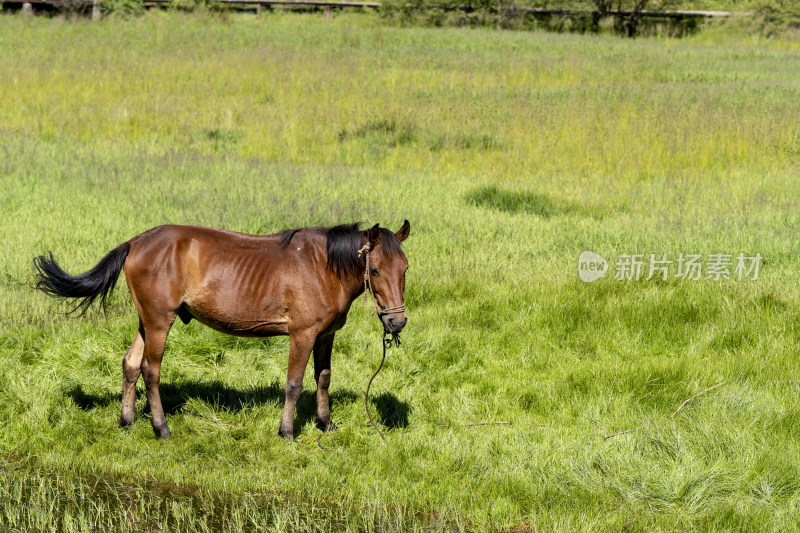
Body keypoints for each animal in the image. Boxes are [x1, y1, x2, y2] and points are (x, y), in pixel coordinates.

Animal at [33, 220, 410, 436]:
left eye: (405, 267)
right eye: (374, 270)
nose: (397, 321)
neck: (324, 267)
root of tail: (137, 241)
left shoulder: (326, 335)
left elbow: (323, 378)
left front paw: (326, 424)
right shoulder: (301, 335)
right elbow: (293, 384)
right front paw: (287, 431)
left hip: (146, 321)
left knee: (130, 364)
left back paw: (127, 421)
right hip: (159, 322)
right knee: (150, 370)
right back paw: (161, 427)